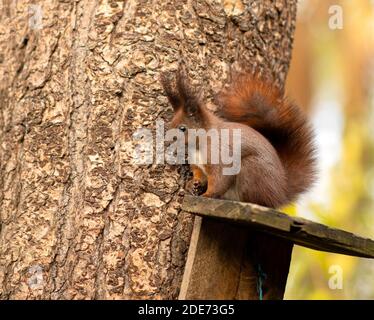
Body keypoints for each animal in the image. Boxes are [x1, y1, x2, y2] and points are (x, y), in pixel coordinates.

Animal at [161, 68, 316, 209]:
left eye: (182, 128)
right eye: (170, 124)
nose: (166, 142)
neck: (198, 145)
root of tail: (281, 193)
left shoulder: (220, 158)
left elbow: (219, 181)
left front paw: (207, 195)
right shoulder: (198, 165)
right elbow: (200, 175)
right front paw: (193, 184)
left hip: (251, 169)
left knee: (258, 200)